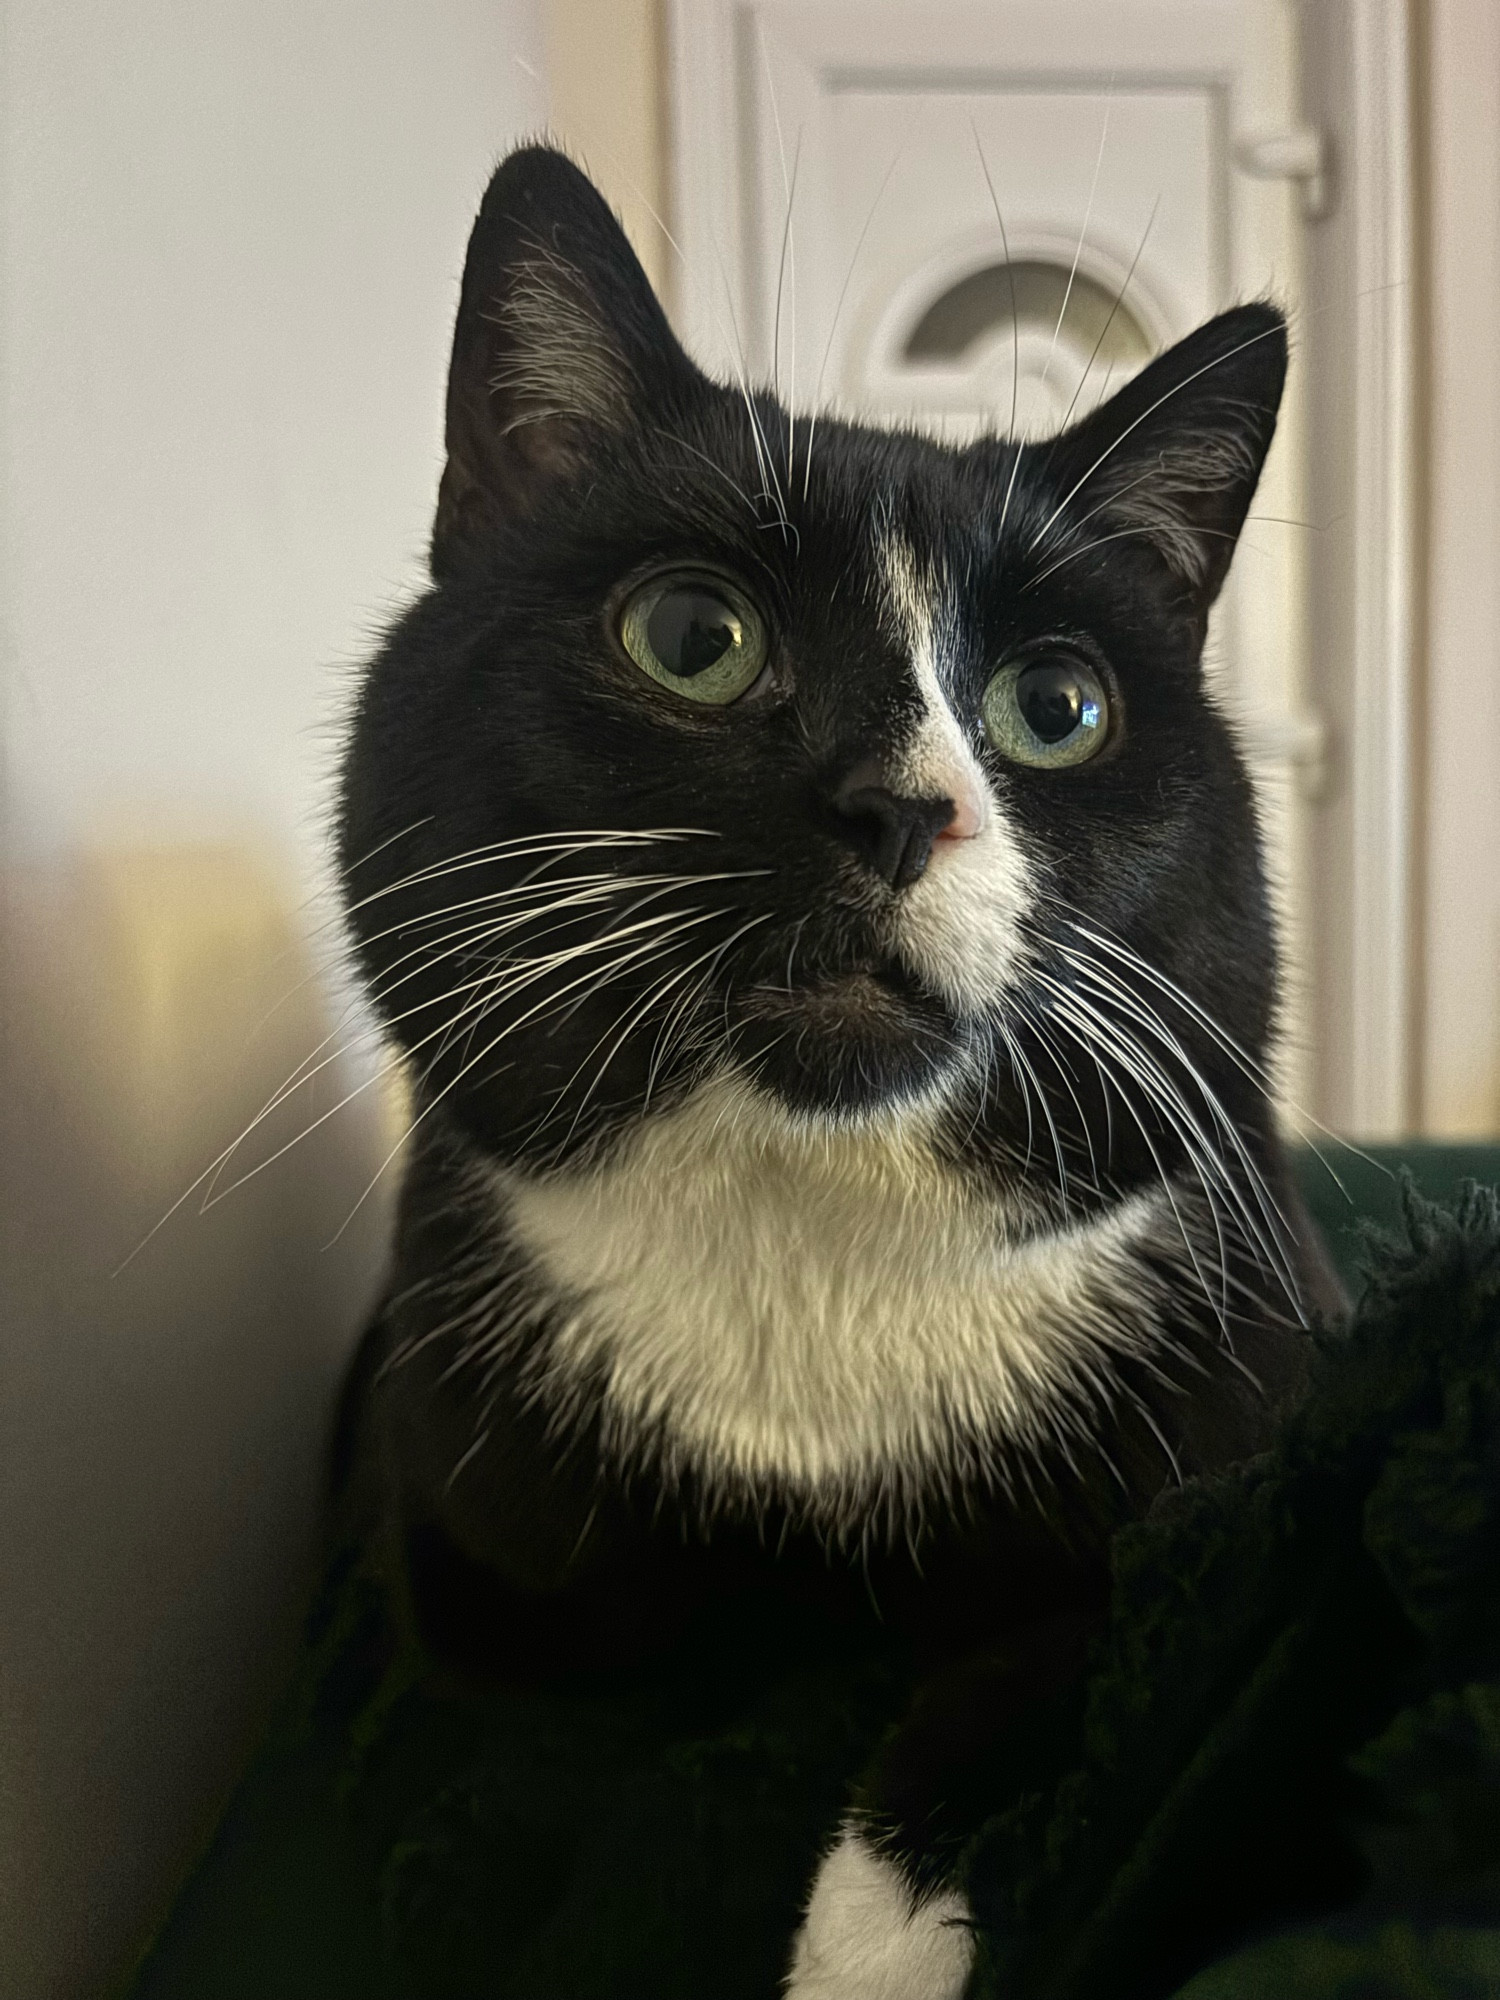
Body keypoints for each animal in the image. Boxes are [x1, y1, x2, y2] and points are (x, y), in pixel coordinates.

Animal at [338, 148, 1336, 1992]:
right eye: (690, 634)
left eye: (1058, 707)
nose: (898, 805)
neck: (800, 1231)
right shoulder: (448, 1525)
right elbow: (527, 1733)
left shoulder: (1241, 1467)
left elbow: (1026, 1669)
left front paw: (864, 1953)